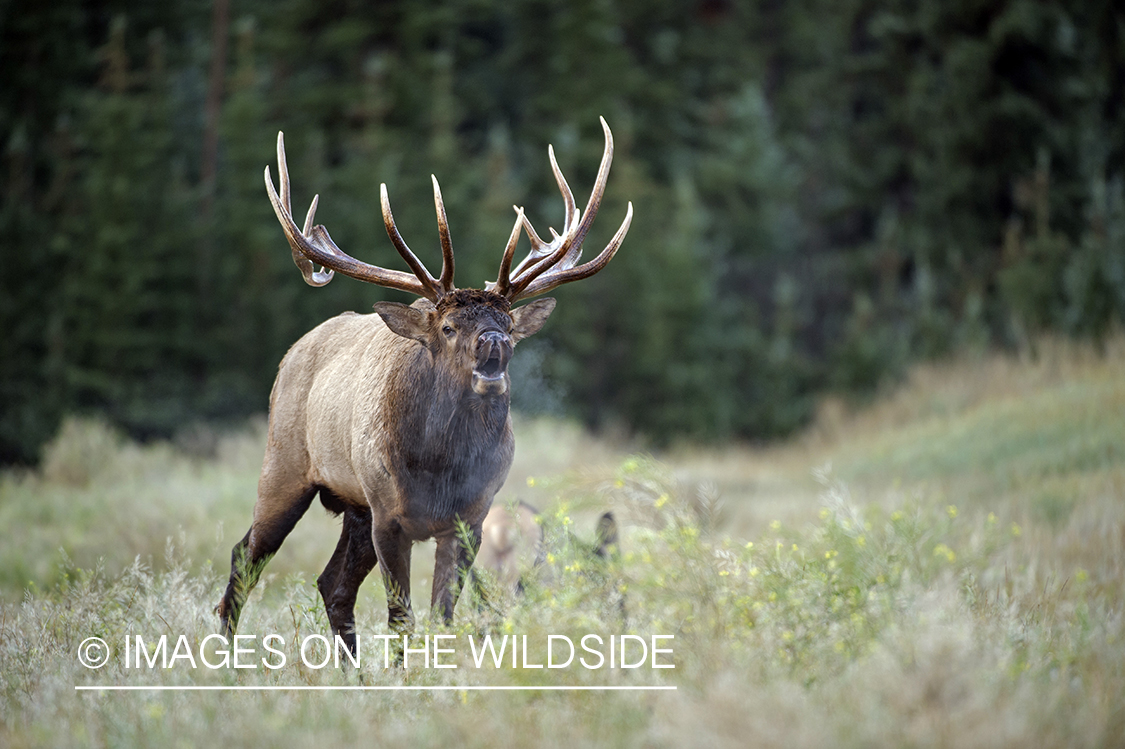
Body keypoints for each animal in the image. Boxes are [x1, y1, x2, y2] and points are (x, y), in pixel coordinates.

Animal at [216, 118, 631, 655]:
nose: (495, 343)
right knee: (243, 557)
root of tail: (294, 351)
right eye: (449, 327)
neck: (440, 467)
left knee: (332, 585)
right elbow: (401, 618)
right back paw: (224, 660)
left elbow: (443, 617)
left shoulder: (470, 519)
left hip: (354, 505)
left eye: (508, 322)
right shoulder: (390, 516)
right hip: (285, 466)